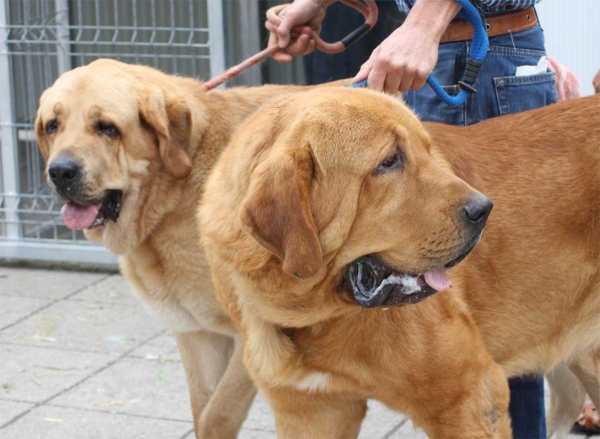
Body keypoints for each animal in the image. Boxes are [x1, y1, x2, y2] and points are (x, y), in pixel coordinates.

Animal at [200, 89, 600, 439]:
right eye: (389, 161)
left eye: (427, 150)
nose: (484, 209)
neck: (314, 317)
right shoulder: (313, 413)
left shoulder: (469, 395)